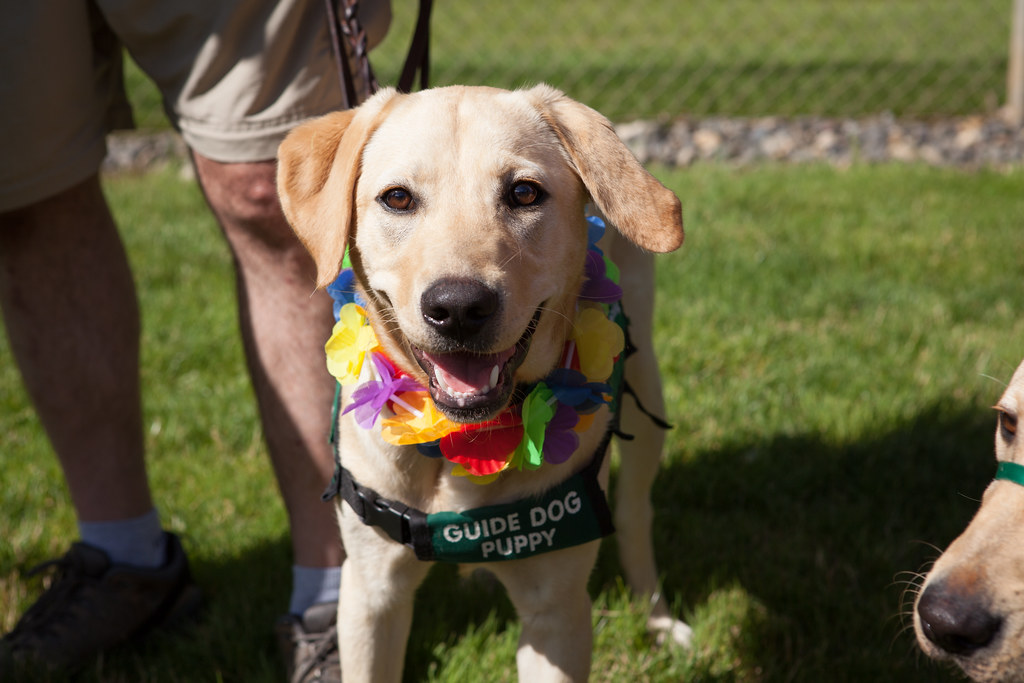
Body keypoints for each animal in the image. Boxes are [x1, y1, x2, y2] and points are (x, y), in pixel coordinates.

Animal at [278, 82, 688, 679]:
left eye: (524, 193)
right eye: (397, 198)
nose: (457, 308)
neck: (463, 438)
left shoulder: (556, 606)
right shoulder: (370, 593)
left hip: (644, 385)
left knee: (636, 513)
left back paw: (657, 618)